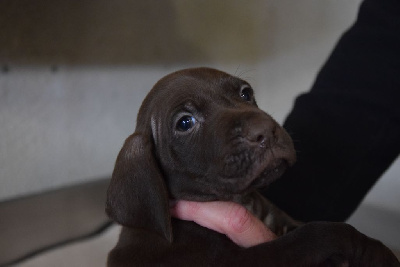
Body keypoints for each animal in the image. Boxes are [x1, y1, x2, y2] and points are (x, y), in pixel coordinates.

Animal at [104, 68, 398, 267]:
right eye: (185, 123)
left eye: (246, 93)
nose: (265, 131)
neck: (244, 201)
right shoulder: (249, 259)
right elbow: (315, 234)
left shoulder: (280, 221)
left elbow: (302, 227)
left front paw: (377, 250)